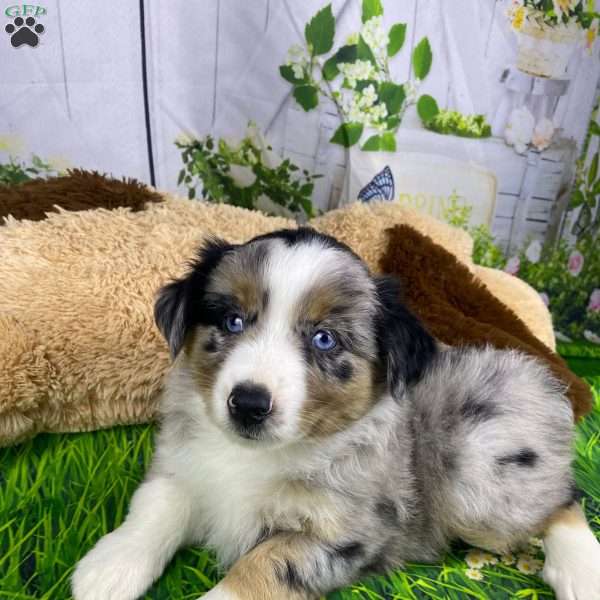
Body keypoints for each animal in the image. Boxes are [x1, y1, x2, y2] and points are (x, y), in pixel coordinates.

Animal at [71, 229, 600, 600]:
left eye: (324, 339)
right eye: (232, 321)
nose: (248, 404)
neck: (254, 455)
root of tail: (536, 375)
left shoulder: (346, 533)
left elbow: (260, 567)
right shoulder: (181, 465)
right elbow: (154, 506)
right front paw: (108, 567)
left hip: (478, 473)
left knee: (563, 496)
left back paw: (581, 571)